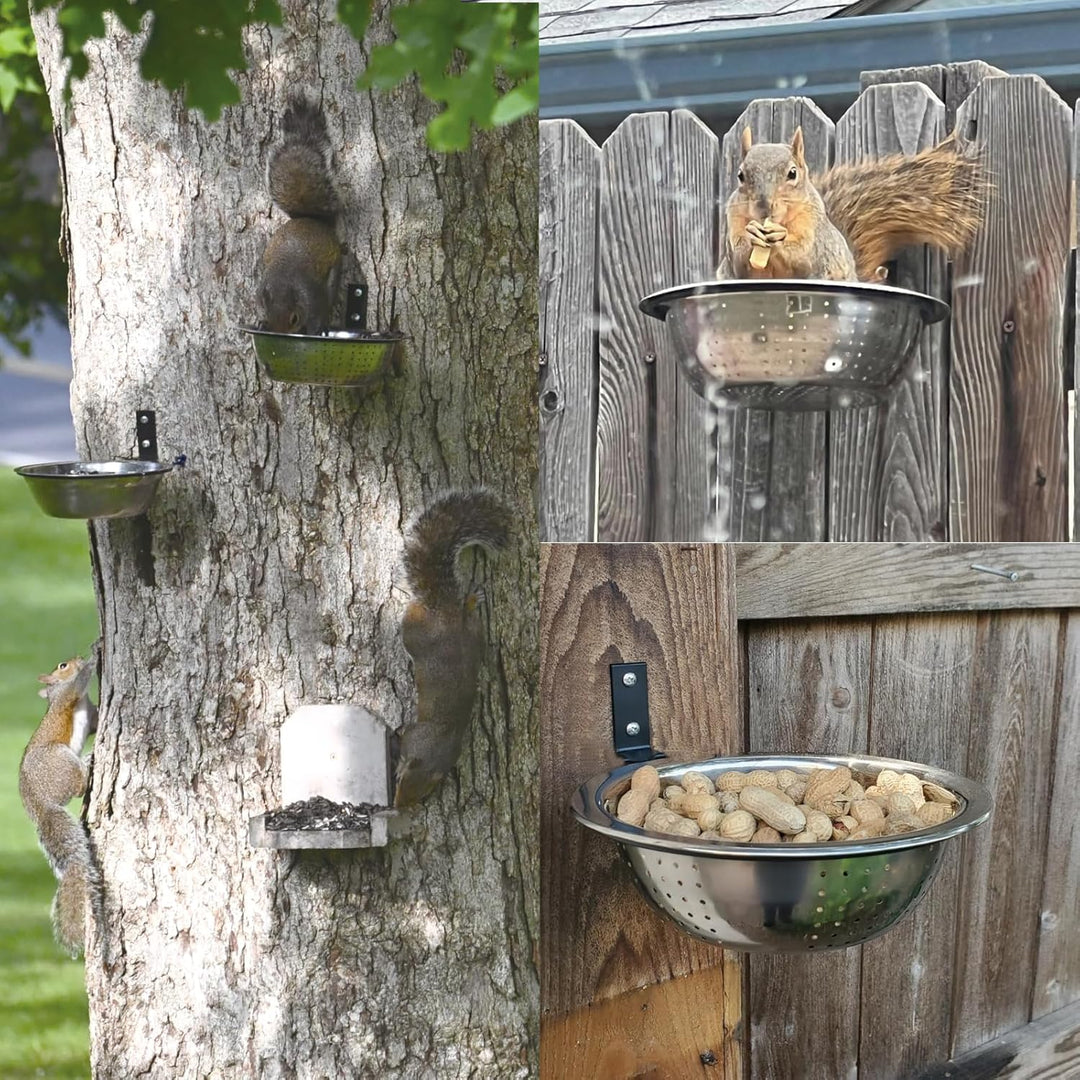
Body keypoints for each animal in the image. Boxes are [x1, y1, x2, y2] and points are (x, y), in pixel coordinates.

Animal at [19, 655, 103, 957]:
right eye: (62, 666)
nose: (75, 659)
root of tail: (42, 805)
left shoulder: (91, 717)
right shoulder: (69, 695)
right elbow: (78, 683)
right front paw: (93, 656)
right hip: (60, 759)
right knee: (77, 786)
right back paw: (88, 760)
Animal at [260, 97, 343, 335]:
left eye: (294, 319)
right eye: (268, 316)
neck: (283, 282)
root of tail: (310, 219)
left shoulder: (313, 296)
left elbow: (317, 313)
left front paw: (315, 329)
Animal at [393, 490, 513, 808]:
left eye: (424, 793)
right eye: (398, 782)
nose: (399, 806)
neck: (439, 744)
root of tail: (444, 612)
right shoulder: (416, 735)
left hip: (446, 633)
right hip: (433, 631)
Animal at [723, 126, 985, 282]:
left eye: (792, 173)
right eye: (740, 175)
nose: (764, 208)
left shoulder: (815, 231)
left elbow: (804, 259)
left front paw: (780, 237)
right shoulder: (733, 221)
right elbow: (739, 265)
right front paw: (751, 234)